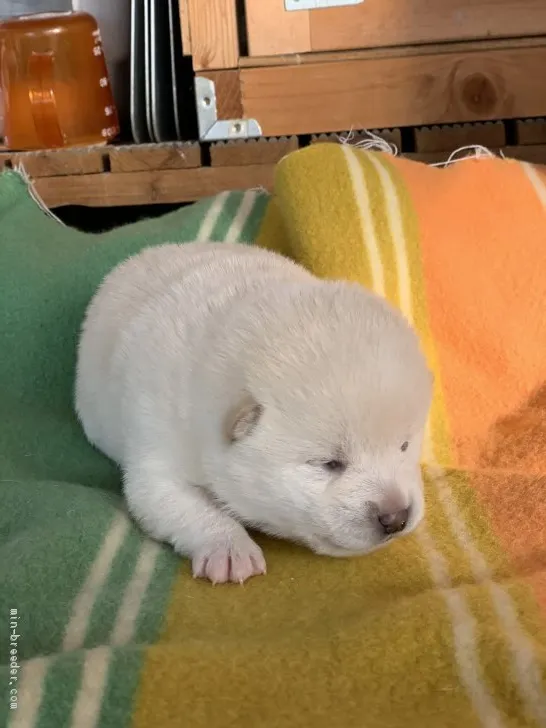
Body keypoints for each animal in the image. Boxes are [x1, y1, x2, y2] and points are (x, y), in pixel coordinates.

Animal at [74, 245, 432, 584]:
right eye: (330, 464)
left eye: (404, 446)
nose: (396, 517)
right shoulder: (158, 452)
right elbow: (180, 502)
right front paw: (230, 549)